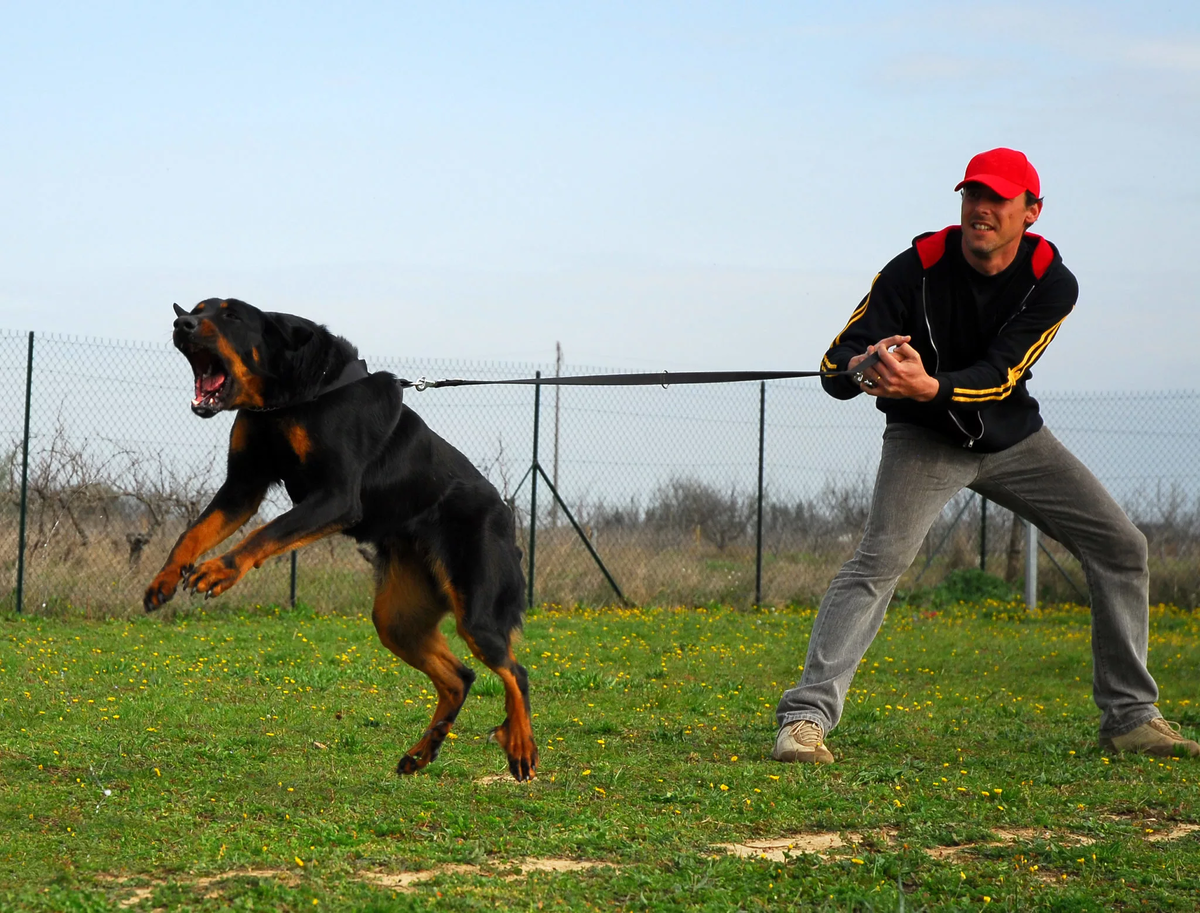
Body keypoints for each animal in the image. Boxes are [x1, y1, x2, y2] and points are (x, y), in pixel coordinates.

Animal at [141, 295, 540, 782]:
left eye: (231, 315)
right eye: (198, 309)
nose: (182, 323)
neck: (291, 400)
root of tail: (507, 514)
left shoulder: (335, 496)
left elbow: (265, 532)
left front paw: (219, 571)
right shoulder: (243, 488)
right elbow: (193, 533)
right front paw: (164, 579)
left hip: (477, 610)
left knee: (515, 672)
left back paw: (520, 746)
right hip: (397, 619)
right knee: (460, 678)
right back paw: (422, 751)